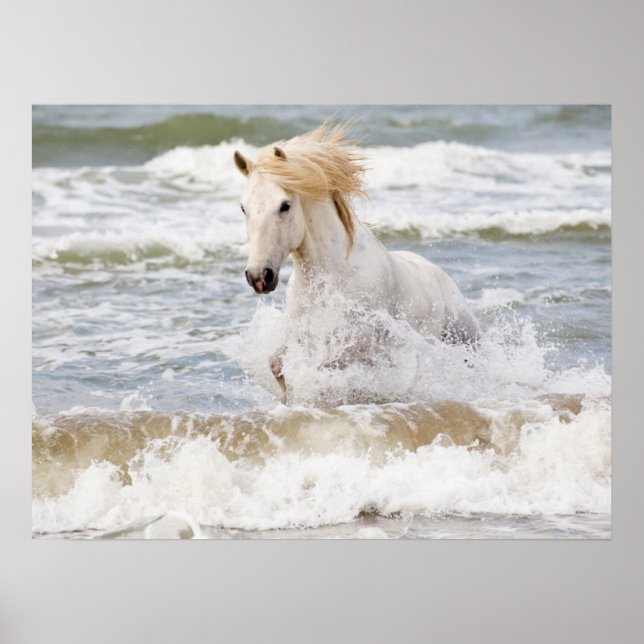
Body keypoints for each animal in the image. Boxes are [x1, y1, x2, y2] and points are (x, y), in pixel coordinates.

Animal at [233, 123, 480, 402]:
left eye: (284, 205)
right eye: (243, 208)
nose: (258, 276)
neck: (334, 275)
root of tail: (438, 273)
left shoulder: (359, 343)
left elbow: (325, 369)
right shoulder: (301, 331)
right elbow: (276, 364)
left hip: (464, 338)